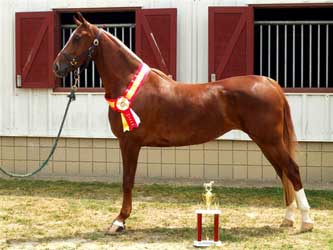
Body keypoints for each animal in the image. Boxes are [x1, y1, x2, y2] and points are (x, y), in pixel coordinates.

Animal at [53, 13, 312, 232]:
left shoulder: (129, 143)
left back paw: (306, 222)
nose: (58, 66)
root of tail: (270, 82)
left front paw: (119, 221)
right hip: (265, 142)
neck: (129, 84)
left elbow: (127, 181)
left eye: (77, 38)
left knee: (292, 170)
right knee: (283, 173)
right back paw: (288, 219)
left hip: (270, 140)